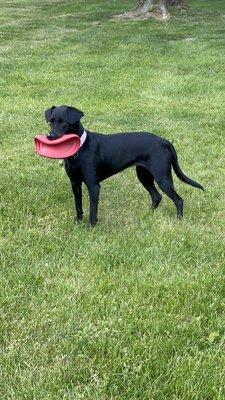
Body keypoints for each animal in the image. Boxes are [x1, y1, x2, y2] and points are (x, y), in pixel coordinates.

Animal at [44, 105, 203, 225]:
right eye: (51, 122)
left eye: (63, 122)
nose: (50, 136)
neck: (79, 150)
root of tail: (162, 140)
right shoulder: (75, 183)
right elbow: (78, 205)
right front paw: (78, 222)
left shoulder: (93, 185)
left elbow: (93, 209)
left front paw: (91, 225)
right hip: (144, 175)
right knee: (156, 196)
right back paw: (148, 214)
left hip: (162, 177)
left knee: (178, 199)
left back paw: (179, 219)